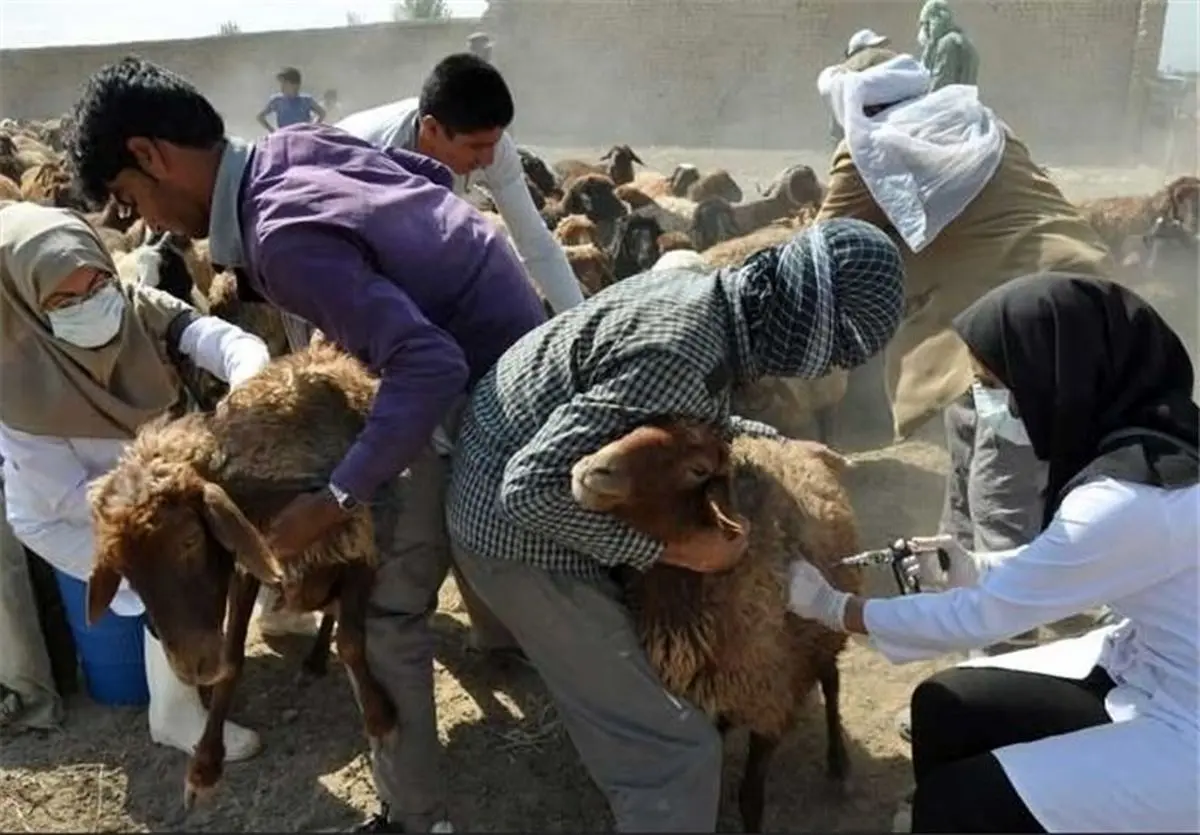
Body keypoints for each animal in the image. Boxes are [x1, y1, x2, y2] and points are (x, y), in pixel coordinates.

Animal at [571, 419, 864, 830]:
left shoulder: (769, 704)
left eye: (698, 470)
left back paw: (839, 766)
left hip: (823, 636)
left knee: (832, 682)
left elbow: (750, 799)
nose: (593, 470)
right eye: (635, 426)